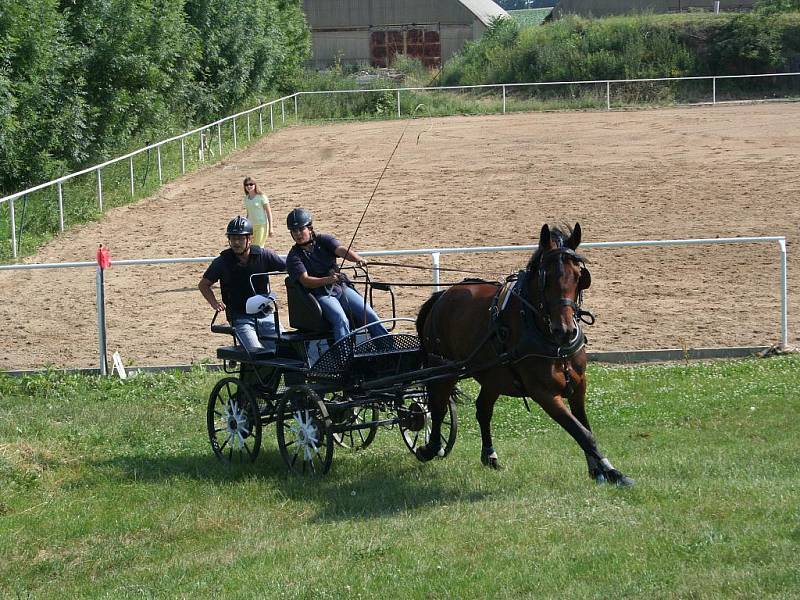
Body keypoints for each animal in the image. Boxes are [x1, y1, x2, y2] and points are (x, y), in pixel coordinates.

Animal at [416, 223, 636, 486]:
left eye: (579, 276)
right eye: (545, 277)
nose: (565, 330)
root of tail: (443, 295)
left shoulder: (579, 384)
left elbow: (585, 427)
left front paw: (603, 470)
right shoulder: (544, 393)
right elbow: (581, 432)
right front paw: (609, 471)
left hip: (493, 375)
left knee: (482, 409)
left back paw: (489, 455)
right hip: (444, 369)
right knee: (438, 408)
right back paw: (431, 447)